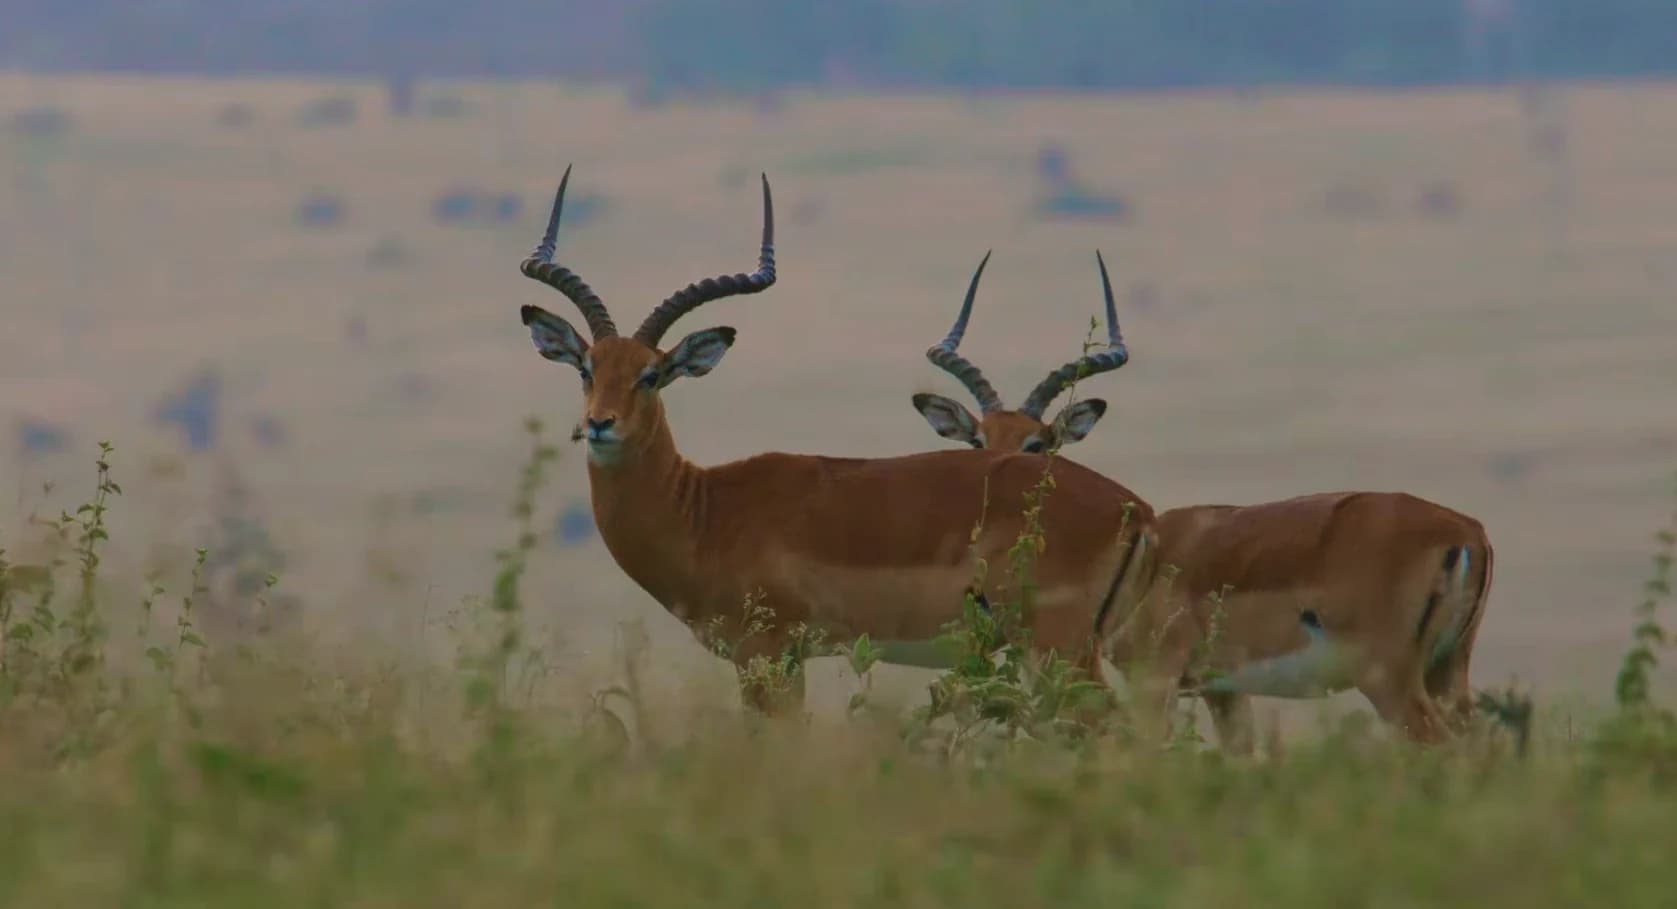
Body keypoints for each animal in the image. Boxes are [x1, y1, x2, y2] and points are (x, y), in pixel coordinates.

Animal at [513, 167, 1159, 717]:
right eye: (586, 369)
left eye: (651, 375)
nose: (598, 423)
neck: (706, 510)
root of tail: (1140, 510)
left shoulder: (767, 655)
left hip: (1057, 646)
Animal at [910, 251, 1495, 749]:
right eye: (977, 439)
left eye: (1037, 445)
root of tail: (1468, 534)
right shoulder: (1222, 689)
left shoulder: (1156, 680)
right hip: (1447, 673)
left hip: (1391, 680)